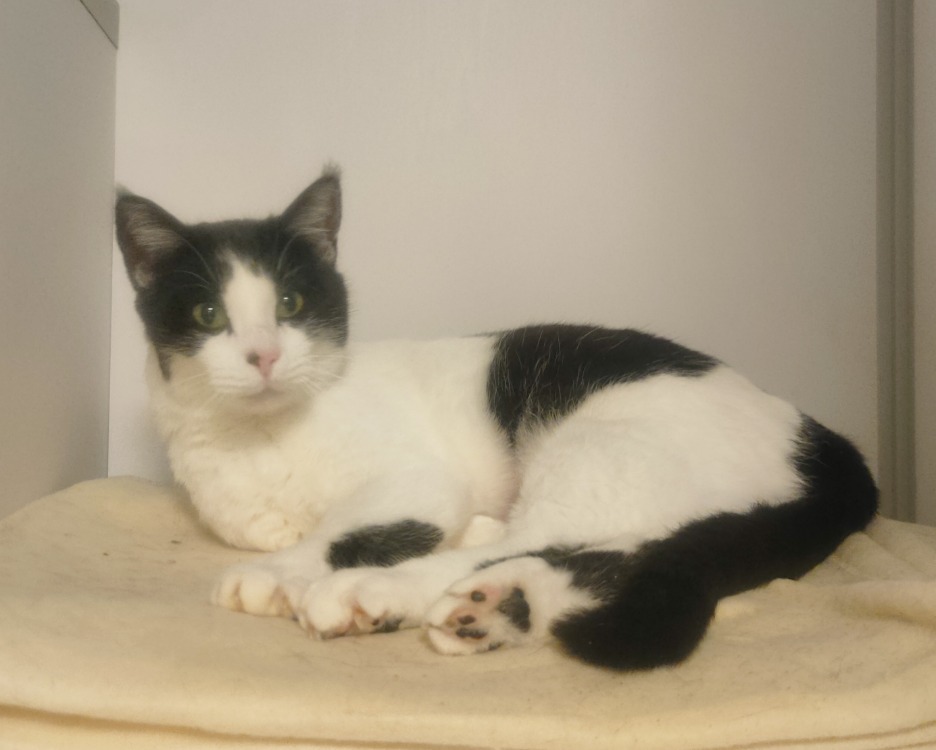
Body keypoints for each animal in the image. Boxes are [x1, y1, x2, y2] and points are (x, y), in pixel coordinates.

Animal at [115, 167, 878, 670]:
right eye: (208, 315)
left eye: (291, 305)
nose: (265, 355)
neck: (259, 437)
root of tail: (818, 435)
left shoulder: (414, 482)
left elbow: (348, 530)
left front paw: (280, 572)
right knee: (612, 551)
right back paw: (493, 610)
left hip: (604, 439)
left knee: (555, 535)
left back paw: (382, 591)